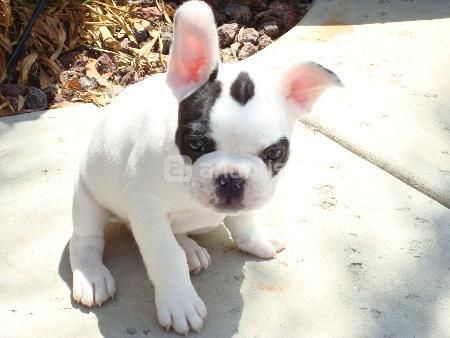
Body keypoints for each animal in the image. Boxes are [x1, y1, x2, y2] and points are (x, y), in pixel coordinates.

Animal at [69, 0, 342, 332]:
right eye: (196, 144)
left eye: (274, 153)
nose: (231, 178)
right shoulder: (148, 213)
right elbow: (166, 256)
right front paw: (179, 302)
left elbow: (244, 221)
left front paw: (255, 239)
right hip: (88, 199)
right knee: (85, 241)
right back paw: (92, 276)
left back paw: (190, 249)